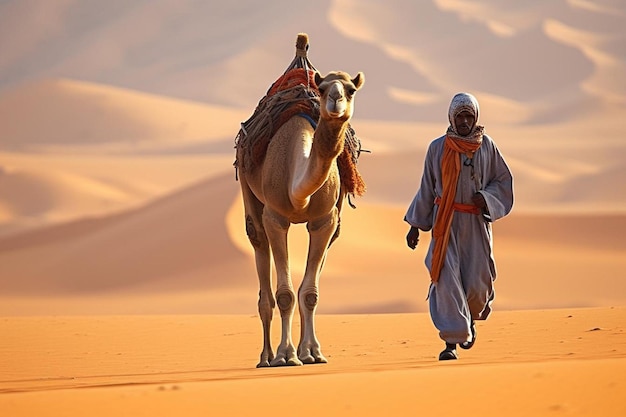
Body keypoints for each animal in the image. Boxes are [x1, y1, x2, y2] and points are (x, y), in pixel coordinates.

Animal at [234, 42, 364, 366]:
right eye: (323, 88)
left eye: (351, 89)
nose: (336, 101)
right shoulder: (276, 218)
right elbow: (285, 295)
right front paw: (286, 355)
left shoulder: (324, 220)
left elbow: (309, 293)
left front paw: (312, 352)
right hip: (248, 189)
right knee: (257, 242)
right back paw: (266, 356)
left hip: (335, 220)